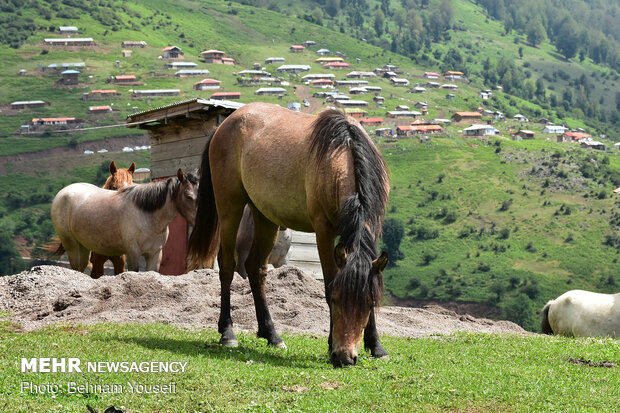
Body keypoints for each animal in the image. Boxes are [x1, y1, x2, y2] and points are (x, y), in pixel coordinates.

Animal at [53, 167, 200, 274]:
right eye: (188, 196)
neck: (147, 216)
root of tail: (63, 192)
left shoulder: (155, 254)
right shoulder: (133, 253)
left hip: (83, 246)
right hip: (71, 244)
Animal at [188, 101, 388, 366]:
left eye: (369, 303)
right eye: (335, 300)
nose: (345, 357)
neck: (342, 154)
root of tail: (225, 125)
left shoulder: (373, 228)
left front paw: (376, 346)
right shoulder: (323, 231)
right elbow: (328, 283)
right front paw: (330, 345)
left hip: (265, 217)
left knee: (256, 269)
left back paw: (271, 334)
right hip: (230, 208)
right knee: (228, 267)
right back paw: (228, 333)